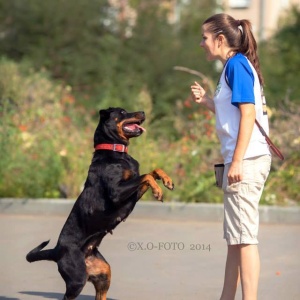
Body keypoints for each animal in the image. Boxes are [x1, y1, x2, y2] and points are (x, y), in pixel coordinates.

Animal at [27, 108, 176, 300]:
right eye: (122, 112)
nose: (143, 112)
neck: (116, 152)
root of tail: (57, 251)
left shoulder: (133, 193)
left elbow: (152, 172)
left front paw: (166, 180)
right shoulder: (117, 193)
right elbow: (146, 176)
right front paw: (158, 190)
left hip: (103, 273)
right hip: (77, 279)